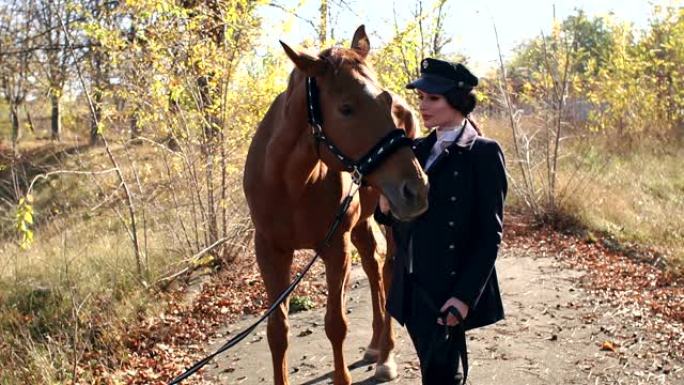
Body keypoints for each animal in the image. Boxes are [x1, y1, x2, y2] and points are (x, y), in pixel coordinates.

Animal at [243, 27, 428, 384]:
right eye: (345, 108)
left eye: (385, 102)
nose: (417, 189)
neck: (291, 184)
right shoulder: (270, 251)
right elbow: (277, 331)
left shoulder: (335, 248)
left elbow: (335, 324)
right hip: (364, 223)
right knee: (373, 266)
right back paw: (374, 345)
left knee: (387, 270)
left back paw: (386, 356)